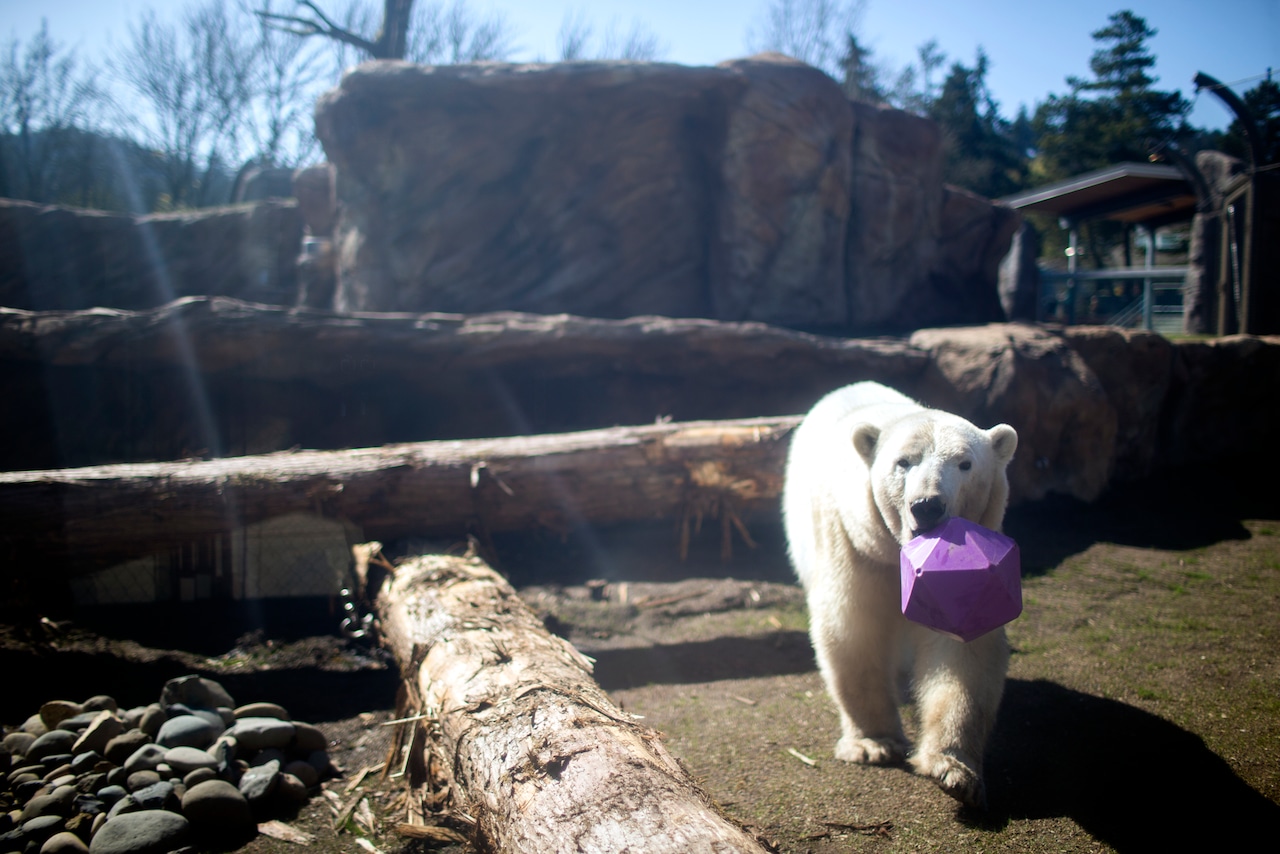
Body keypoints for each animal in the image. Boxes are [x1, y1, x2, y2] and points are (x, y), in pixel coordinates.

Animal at [782, 381, 1018, 809]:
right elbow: (853, 628)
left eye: (965, 464)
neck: (901, 551)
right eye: (903, 462)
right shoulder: (856, 546)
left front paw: (953, 769)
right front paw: (874, 743)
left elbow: (961, 647)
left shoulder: (961, 566)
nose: (927, 506)